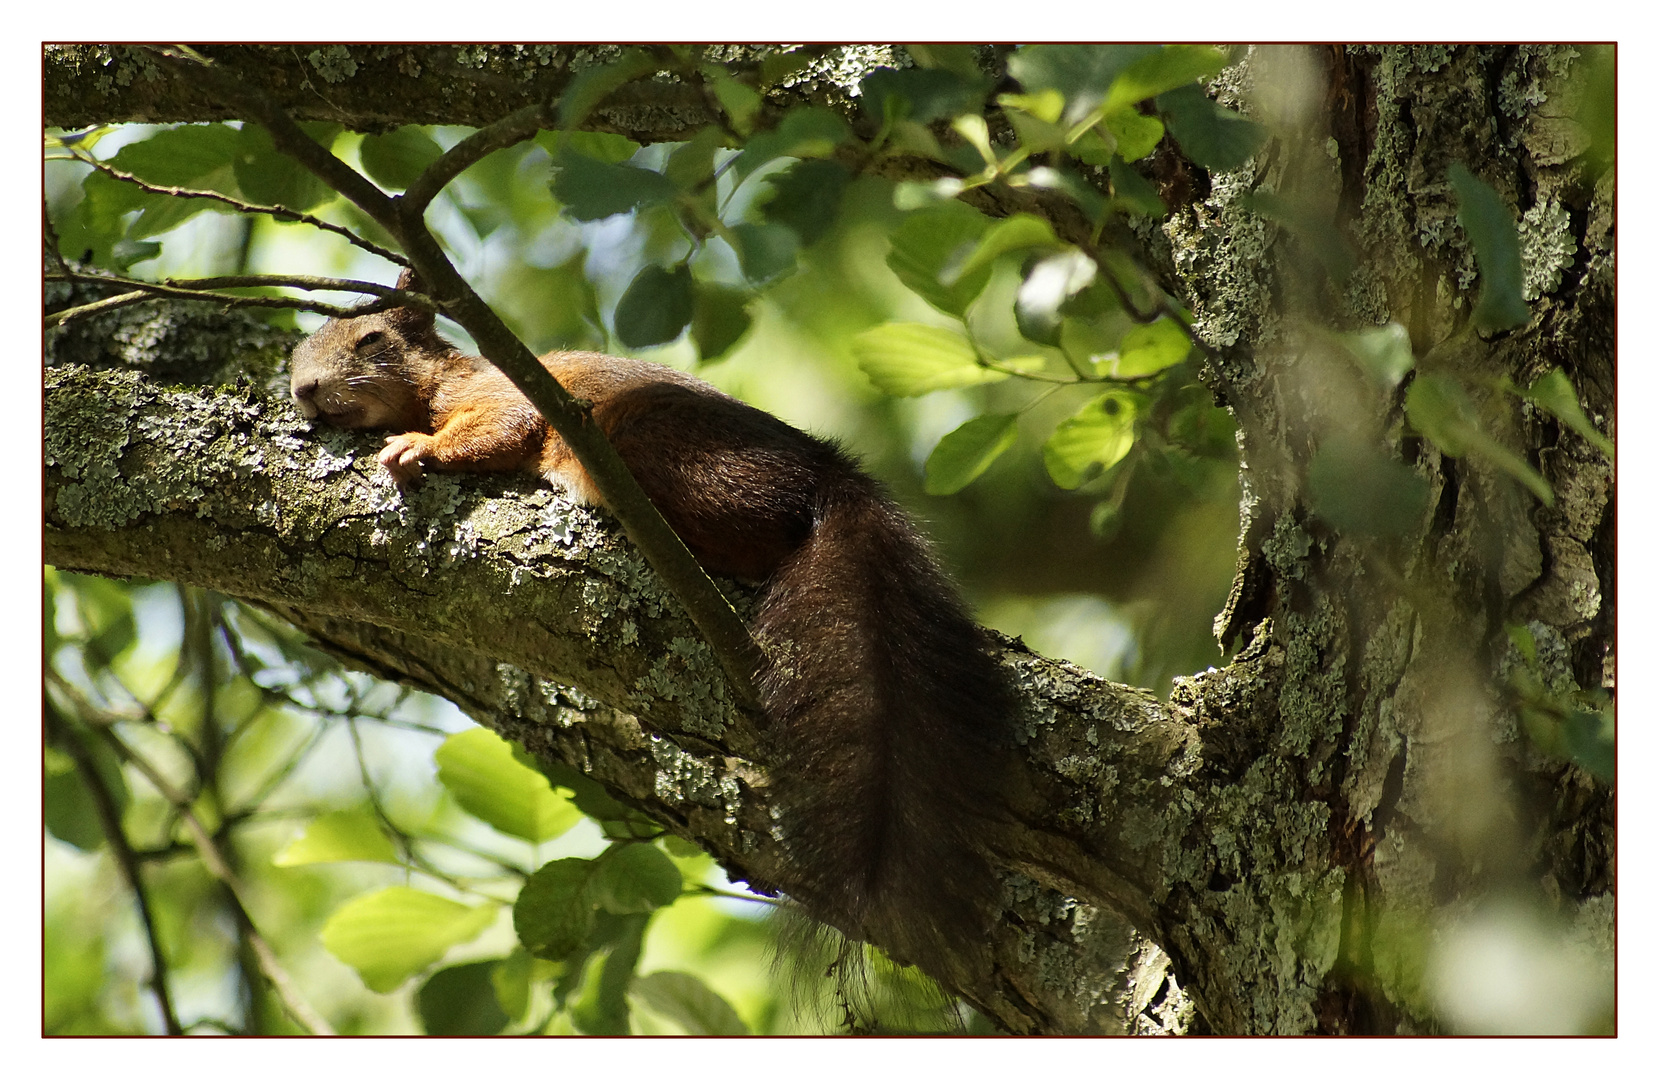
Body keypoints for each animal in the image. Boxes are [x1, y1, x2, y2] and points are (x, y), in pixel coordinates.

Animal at [291, 270, 1015, 988]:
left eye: (371, 339)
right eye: (296, 353)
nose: (303, 391)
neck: (436, 384)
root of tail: (826, 476)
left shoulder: (500, 396)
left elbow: (497, 429)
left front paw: (419, 448)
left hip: (657, 447)